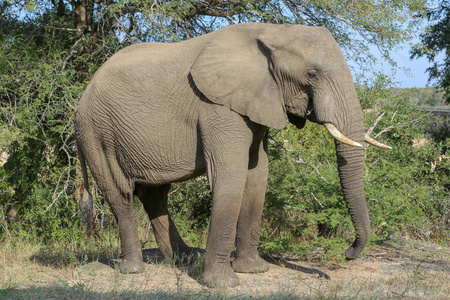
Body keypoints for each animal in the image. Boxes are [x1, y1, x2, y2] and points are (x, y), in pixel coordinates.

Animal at [74, 22, 390, 286]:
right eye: (312, 74)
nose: (348, 252)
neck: (274, 30)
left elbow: (257, 176)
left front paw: (254, 270)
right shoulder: (217, 107)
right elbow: (231, 176)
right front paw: (222, 284)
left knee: (154, 194)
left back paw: (184, 259)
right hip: (96, 132)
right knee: (120, 193)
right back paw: (133, 269)